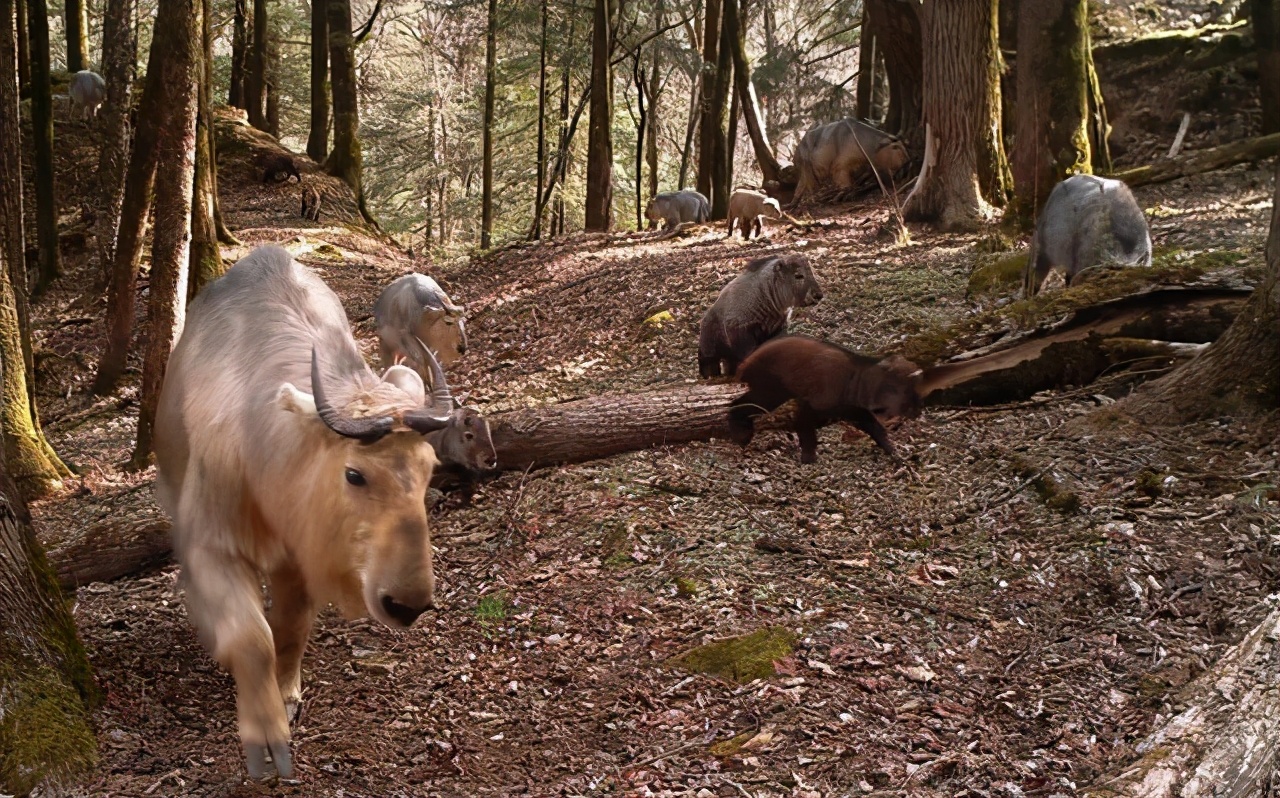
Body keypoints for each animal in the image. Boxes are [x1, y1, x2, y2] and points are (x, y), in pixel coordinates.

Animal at [732, 335, 921, 461]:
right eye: (905, 391)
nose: (918, 412)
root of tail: (744, 365)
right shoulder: (812, 405)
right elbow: (805, 430)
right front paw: (808, 459)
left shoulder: (856, 412)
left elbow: (877, 430)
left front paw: (895, 453)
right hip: (769, 391)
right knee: (739, 404)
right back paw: (739, 435)